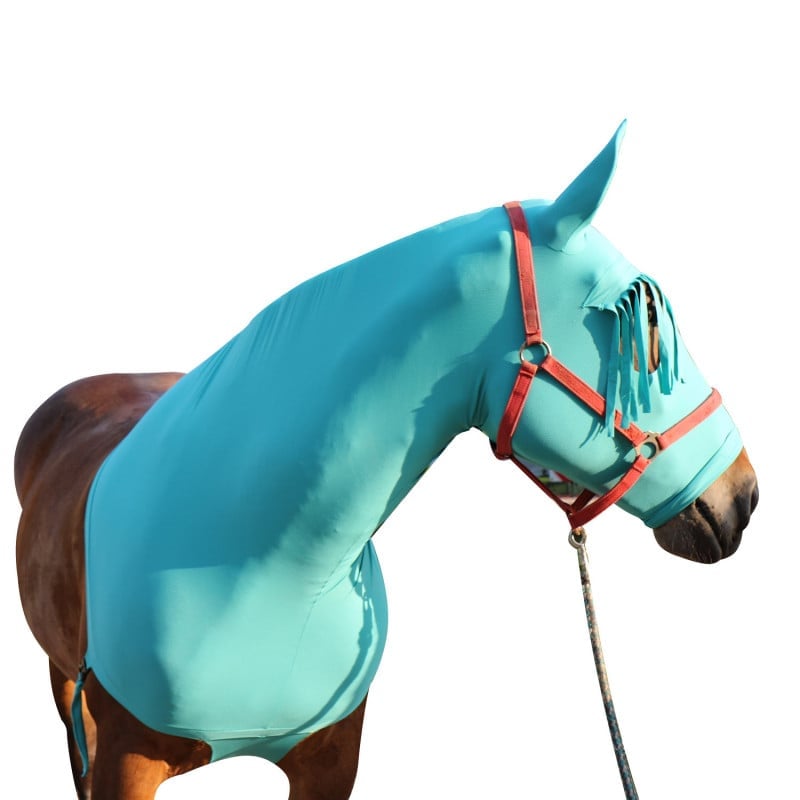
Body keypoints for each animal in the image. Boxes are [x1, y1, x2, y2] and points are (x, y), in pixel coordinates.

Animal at [15, 122, 758, 799]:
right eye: (644, 322)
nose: (744, 495)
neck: (257, 564)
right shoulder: (125, 762)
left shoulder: (331, 761)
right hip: (61, 682)